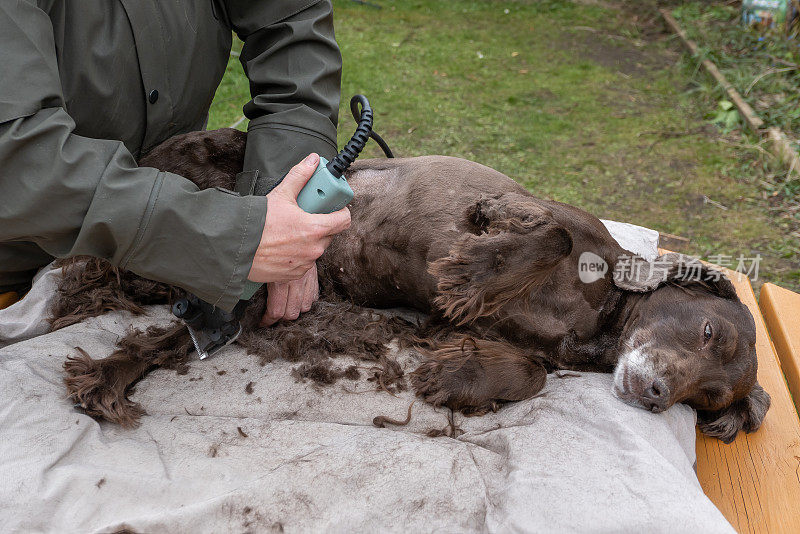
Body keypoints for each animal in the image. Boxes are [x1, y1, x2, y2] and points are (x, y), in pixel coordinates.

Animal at [56, 130, 768, 444]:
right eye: (707, 330)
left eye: (707, 399)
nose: (655, 396)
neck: (599, 315)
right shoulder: (521, 212)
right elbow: (548, 241)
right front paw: (475, 273)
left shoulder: (478, 333)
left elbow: (529, 373)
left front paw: (458, 377)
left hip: (252, 301)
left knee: (164, 330)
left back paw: (106, 381)